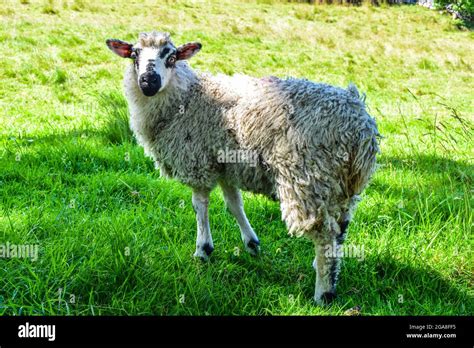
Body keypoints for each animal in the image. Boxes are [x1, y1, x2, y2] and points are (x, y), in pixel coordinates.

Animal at [105, 32, 380, 304]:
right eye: (134, 55)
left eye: (171, 57)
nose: (148, 82)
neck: (187, 97)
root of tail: (360, 125)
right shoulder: (226, 165)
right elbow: (234, 204)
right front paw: (251, 244)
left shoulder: (197, 162)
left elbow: (199, 206)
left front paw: (203, 250)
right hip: (342, 185)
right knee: (341, 230)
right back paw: (326, 270)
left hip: (308, 179)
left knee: (324, 234)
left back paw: (323, 293)